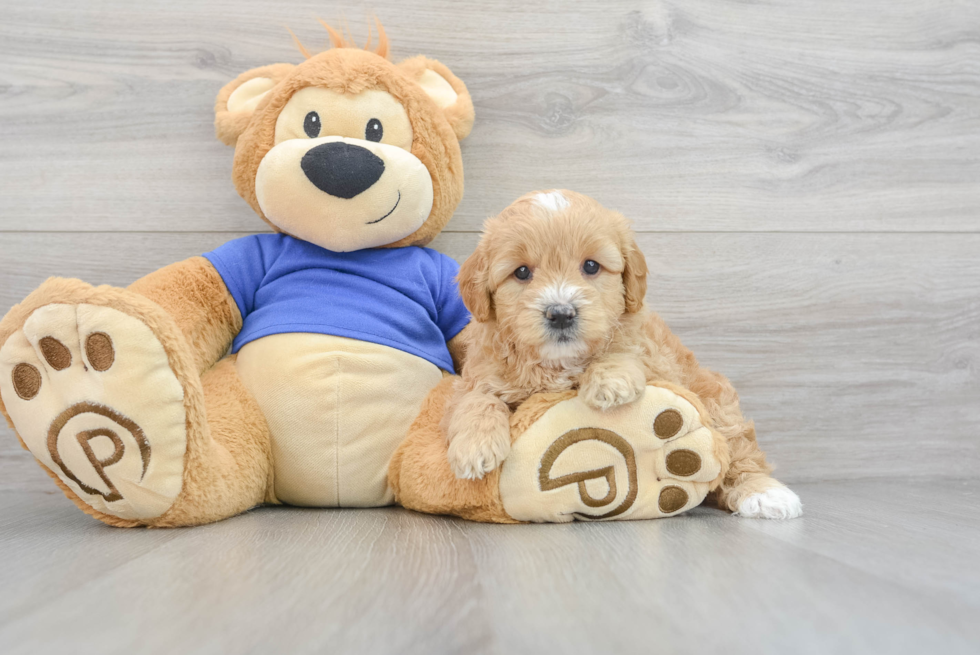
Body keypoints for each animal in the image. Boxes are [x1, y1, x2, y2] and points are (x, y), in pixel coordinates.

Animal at [450, 191, 804, 524]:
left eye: (591, 266)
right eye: (522, 272)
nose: (561, 313)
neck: (561, 361)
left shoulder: (651, 352)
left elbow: (622, 348)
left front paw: (610, 381)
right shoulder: (482, 371)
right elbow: (475, 398)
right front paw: (474, 446)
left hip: (716, 399)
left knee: (739, 449)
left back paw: (764, 493)